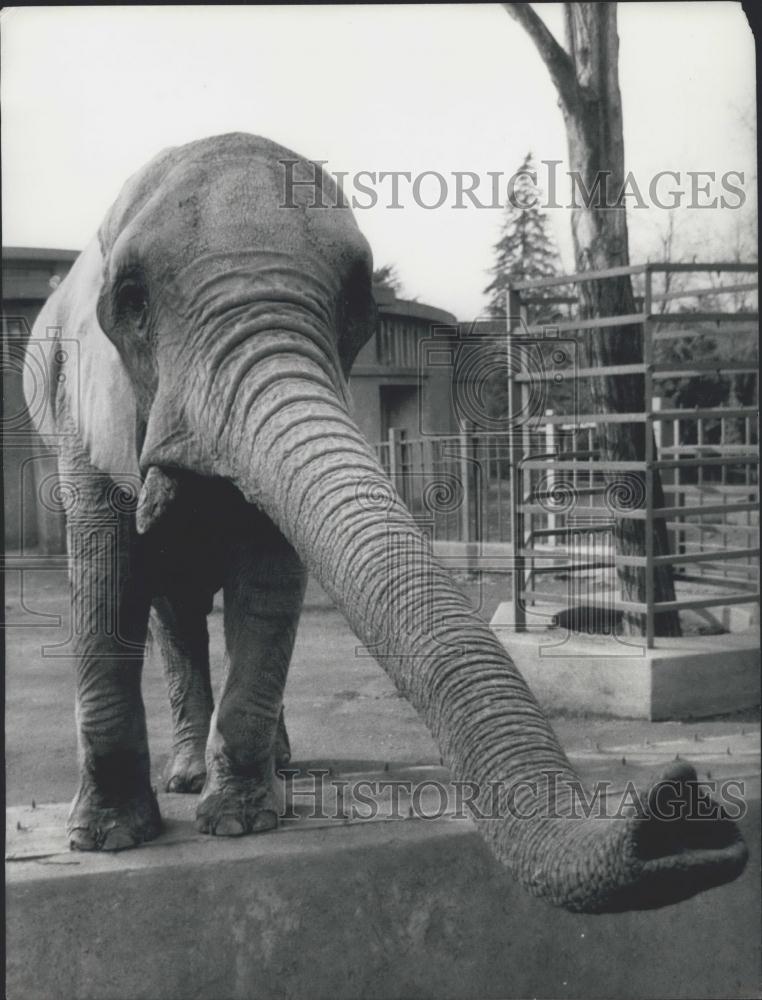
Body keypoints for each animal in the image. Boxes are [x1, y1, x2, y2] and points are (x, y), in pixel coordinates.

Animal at [25, 133, 748, 916]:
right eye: (131, 301)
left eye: (355, 304)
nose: (687, 810)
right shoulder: (85, 415)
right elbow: (105, 585)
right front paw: (108, 842)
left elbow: (267, 581)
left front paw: (244, 824)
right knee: (174, 613)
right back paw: (187, 776)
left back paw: (274, 770)